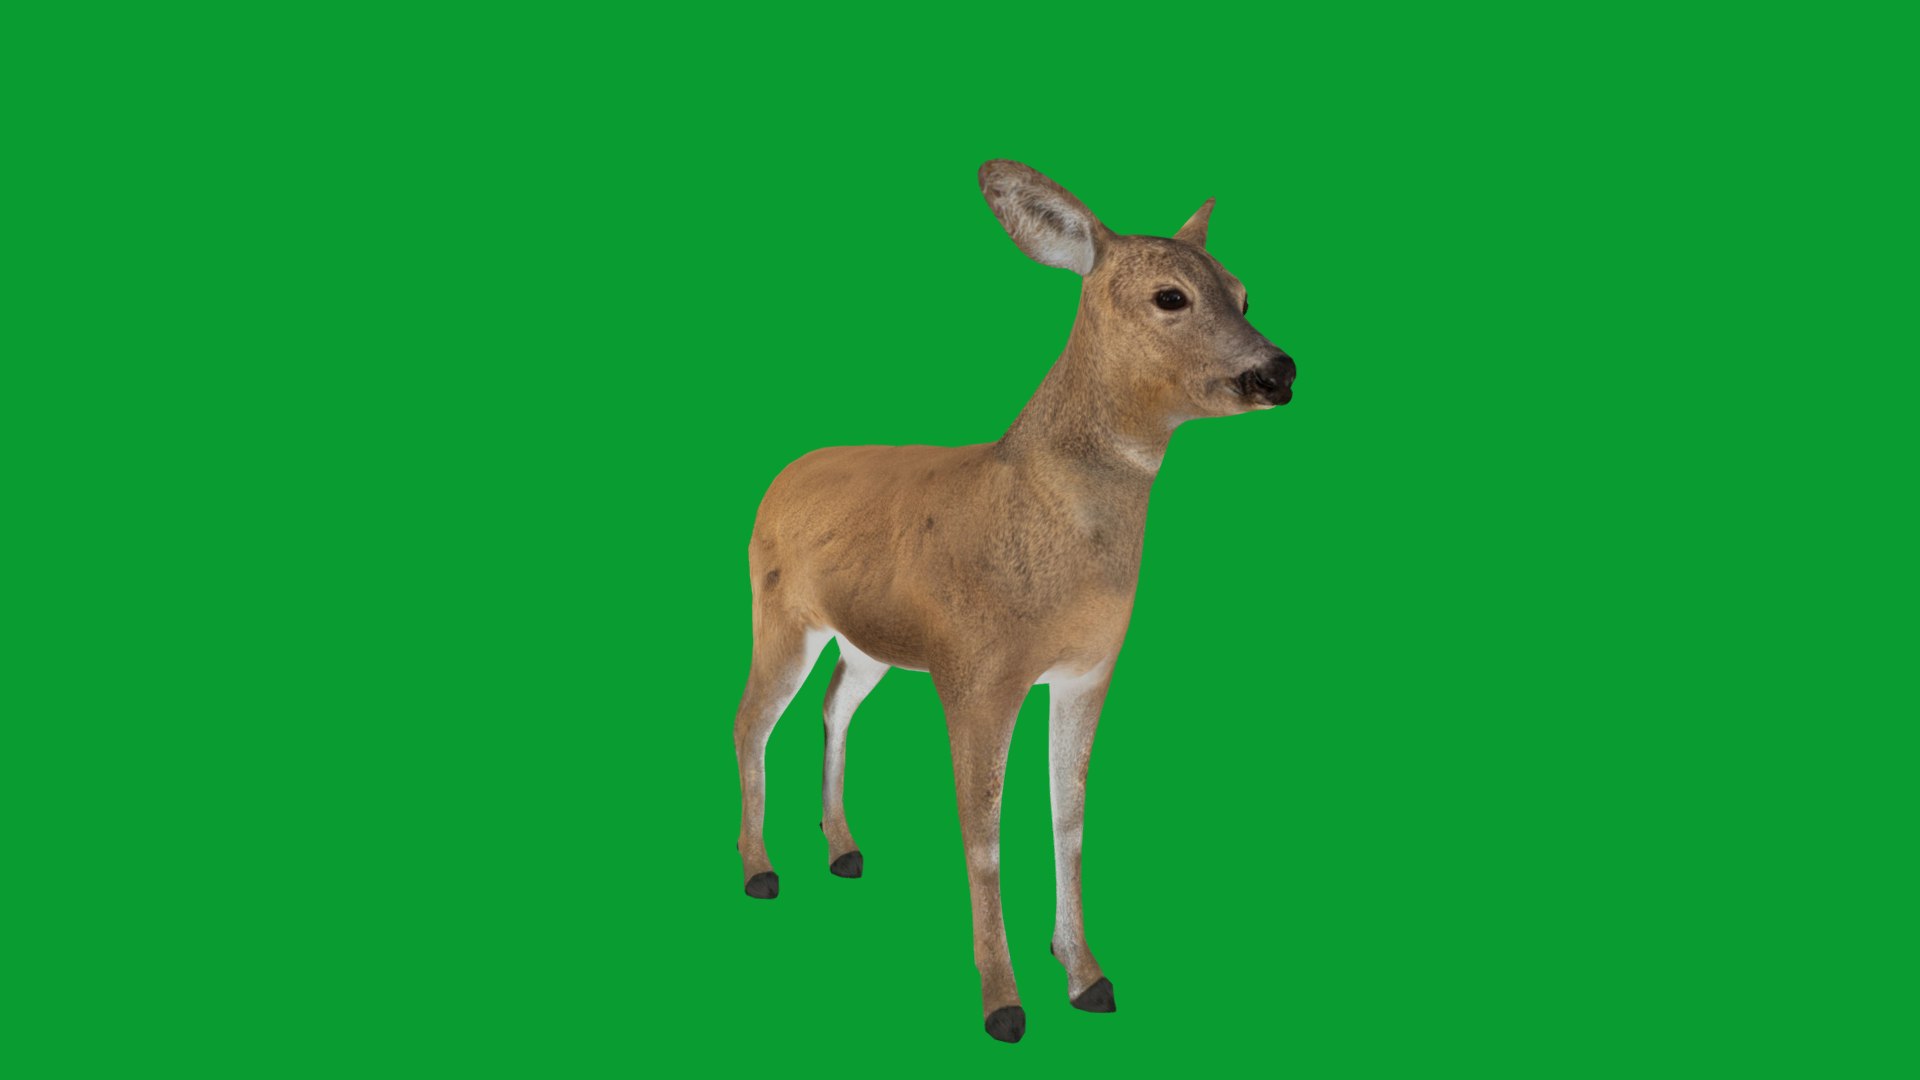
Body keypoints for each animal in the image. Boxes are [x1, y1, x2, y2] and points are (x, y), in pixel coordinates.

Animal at [733, 160, 1297, 1043]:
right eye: (1171, 296)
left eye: (1243, 290)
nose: (1278, 371)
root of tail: (781, 474)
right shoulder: (975, 669)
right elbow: (982, 832)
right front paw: (1003, 1002)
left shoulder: (1088, 670)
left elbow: (1069, 819)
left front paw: (1088, 975)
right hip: (779, 612)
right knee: (751, 718)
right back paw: (761, 870)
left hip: (867, 642)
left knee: (833, 706)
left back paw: (844, 850)